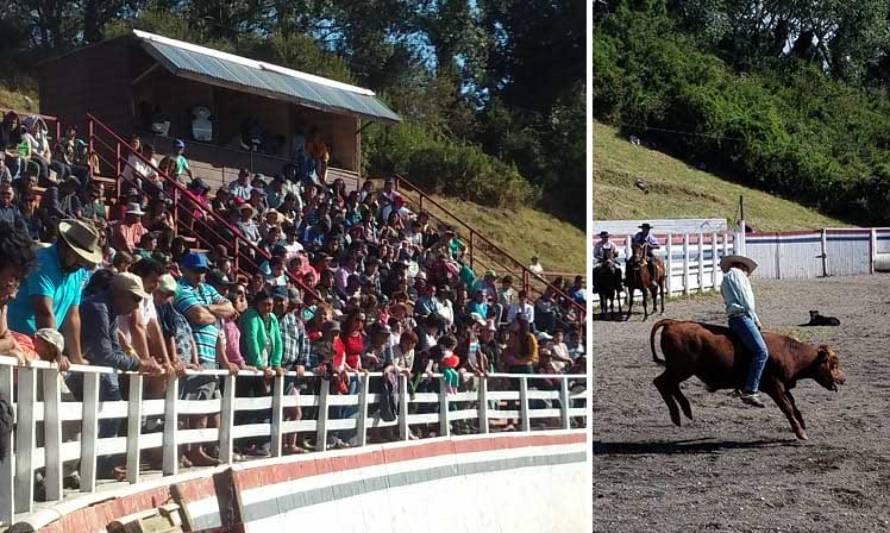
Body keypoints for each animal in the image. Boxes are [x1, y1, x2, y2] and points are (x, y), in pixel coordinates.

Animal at [644, 318, 848, 438]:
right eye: (834, 363)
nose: (844, 379)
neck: (790, 353)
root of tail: (673, 323)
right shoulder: (774, 385)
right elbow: (787, 407)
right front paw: (800, 433)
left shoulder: (783, 385)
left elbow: (793, 405)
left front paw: (803, 424)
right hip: (681, 369)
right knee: (661, 383)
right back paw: (677, 413)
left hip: (679, 370)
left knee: (669, 385)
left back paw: (685, 411)